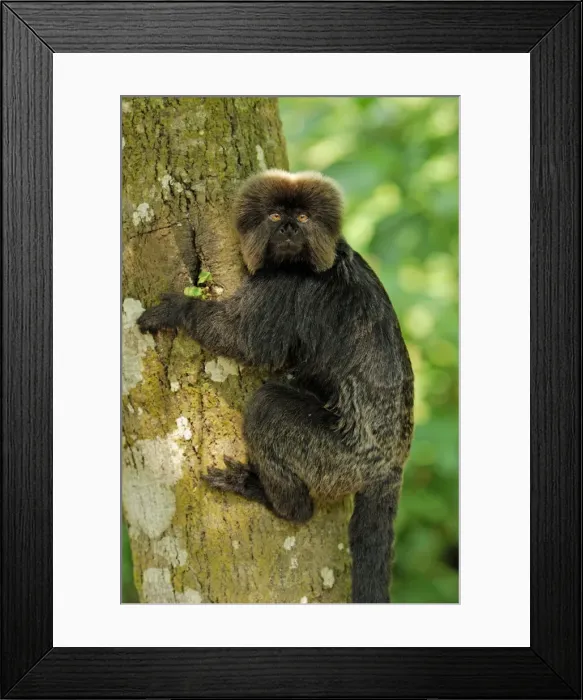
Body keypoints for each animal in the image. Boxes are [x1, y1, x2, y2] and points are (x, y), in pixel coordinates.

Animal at [137, 169, 414, 603]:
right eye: (274, 217)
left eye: (300, 218)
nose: (287, 229)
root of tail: (391, 463)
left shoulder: (284, 285)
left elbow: (247, 343)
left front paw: (179, 310)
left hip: (339, 458)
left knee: (268, 407)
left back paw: (279, 502)